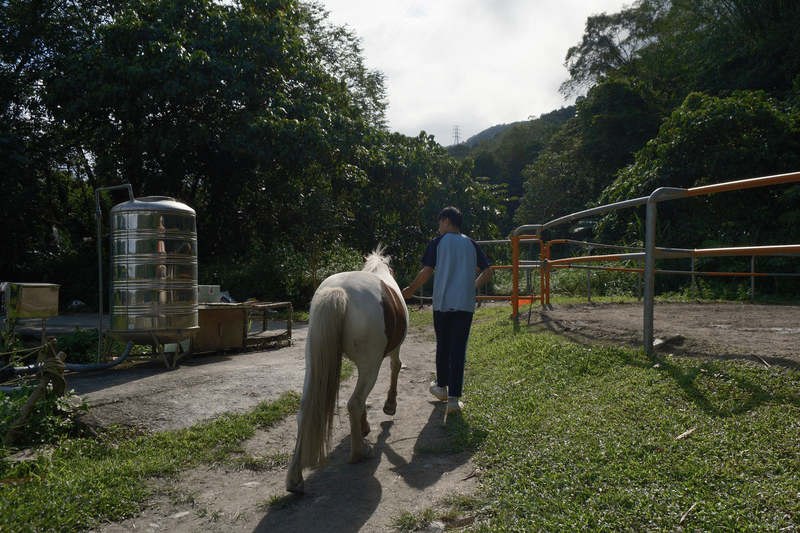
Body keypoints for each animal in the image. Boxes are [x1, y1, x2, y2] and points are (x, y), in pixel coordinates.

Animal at [286, 243, 410, 492]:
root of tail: (338, 291)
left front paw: (364, 425)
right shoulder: (391, 353)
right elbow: (395, 368)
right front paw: (389, 407)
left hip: (314, 364)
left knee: (305, 409)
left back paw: (295, 478)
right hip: (371, 366)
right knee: (354, 403)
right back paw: (360, 452)